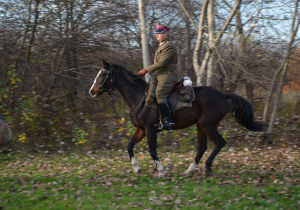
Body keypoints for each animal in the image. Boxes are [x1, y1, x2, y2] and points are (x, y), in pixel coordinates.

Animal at [89, 60, 264, 178]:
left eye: (103, 74)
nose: (92, 91)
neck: (140, 98)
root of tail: (222, 95)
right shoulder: (141, 130)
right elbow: (129, 146)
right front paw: (137, 169)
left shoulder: (150, 129)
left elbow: (152, 150)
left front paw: (161, 171)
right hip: (201, 126)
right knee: (202, 148)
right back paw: (189, 170)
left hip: (208, 125)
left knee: (220, 143)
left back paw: (207, 168)